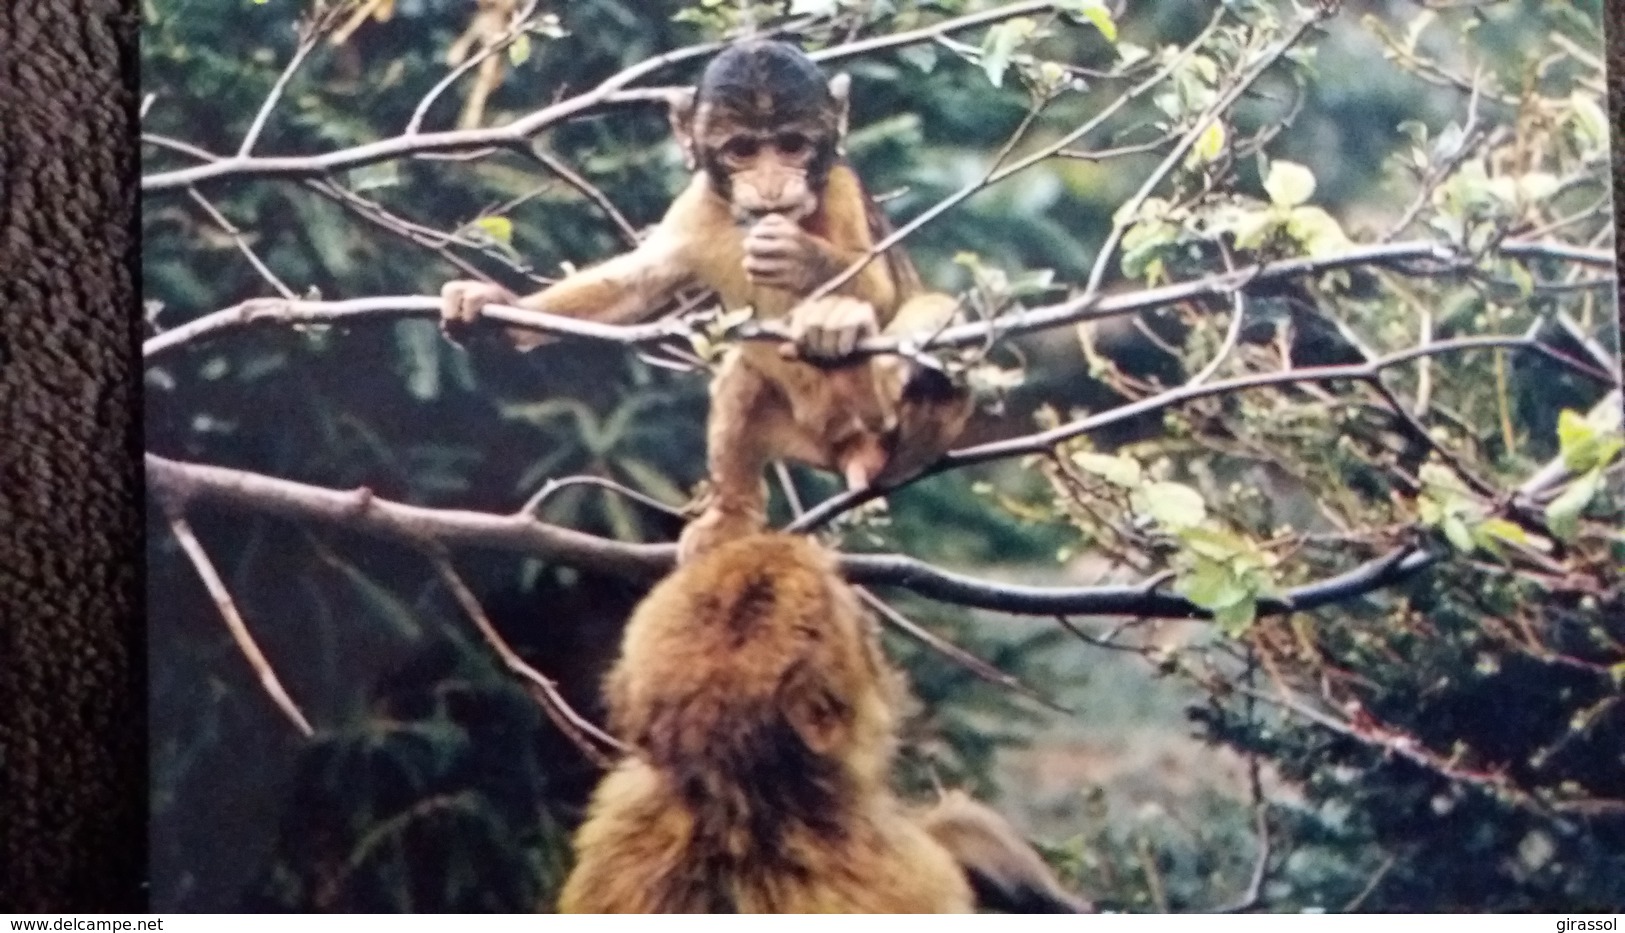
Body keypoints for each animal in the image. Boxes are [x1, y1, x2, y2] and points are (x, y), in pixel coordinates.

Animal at [438, 40, 968, 559]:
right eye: (742, 150)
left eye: (792, 145)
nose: (772, 186)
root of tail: (847, 450)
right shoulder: (697, 204)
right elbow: (635, 282)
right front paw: (494, 307)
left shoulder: (840, 188)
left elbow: (880, 289)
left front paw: (802, 261)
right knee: (741, 375)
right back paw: (732, 516)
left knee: (933, 314)